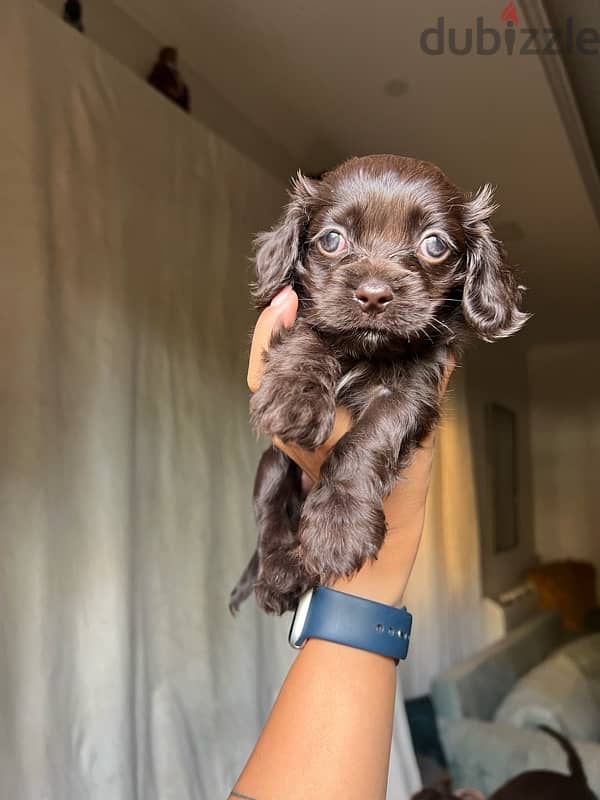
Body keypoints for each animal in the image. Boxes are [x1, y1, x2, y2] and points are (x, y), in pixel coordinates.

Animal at [230, 158, 524, 620]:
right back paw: (279, 575)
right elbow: (309, 334)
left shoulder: (414, 391)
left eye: (434, 245)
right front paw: (295, 396)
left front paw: (339, 524)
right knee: (269, 516)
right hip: (272, 464)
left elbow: (369, 438)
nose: (373, 294)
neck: (368, 352)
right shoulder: (300, 321)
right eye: (332, 239)